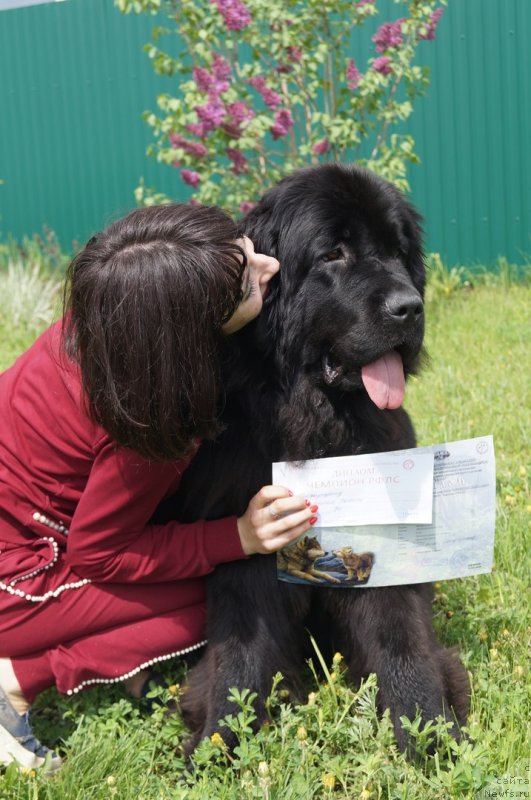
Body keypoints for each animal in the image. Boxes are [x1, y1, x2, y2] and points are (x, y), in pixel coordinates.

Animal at [157, 164, 470, 756]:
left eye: (398, 251)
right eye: (333, 254)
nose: (410, 307)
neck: (317, 420)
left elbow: (401, 636)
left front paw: (427, 734)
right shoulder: (249, 543)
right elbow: (239, 657)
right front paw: (217, 744)